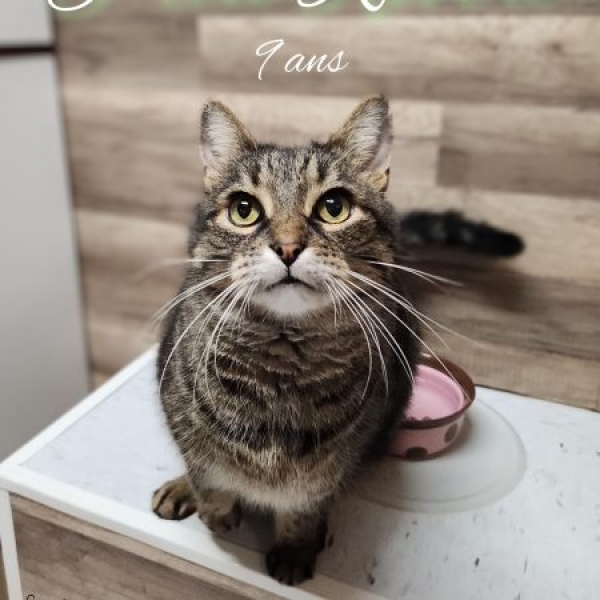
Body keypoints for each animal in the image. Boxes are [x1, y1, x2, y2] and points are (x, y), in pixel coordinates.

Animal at [151, 96, 523, 586]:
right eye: (244, 210)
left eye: (333, 206)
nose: (288, 247)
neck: (281, 367)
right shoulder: (179, 409)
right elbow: (207, 476)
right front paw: (215, 509)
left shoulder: (334, 463)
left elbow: (304, 504)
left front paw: (295, 546)